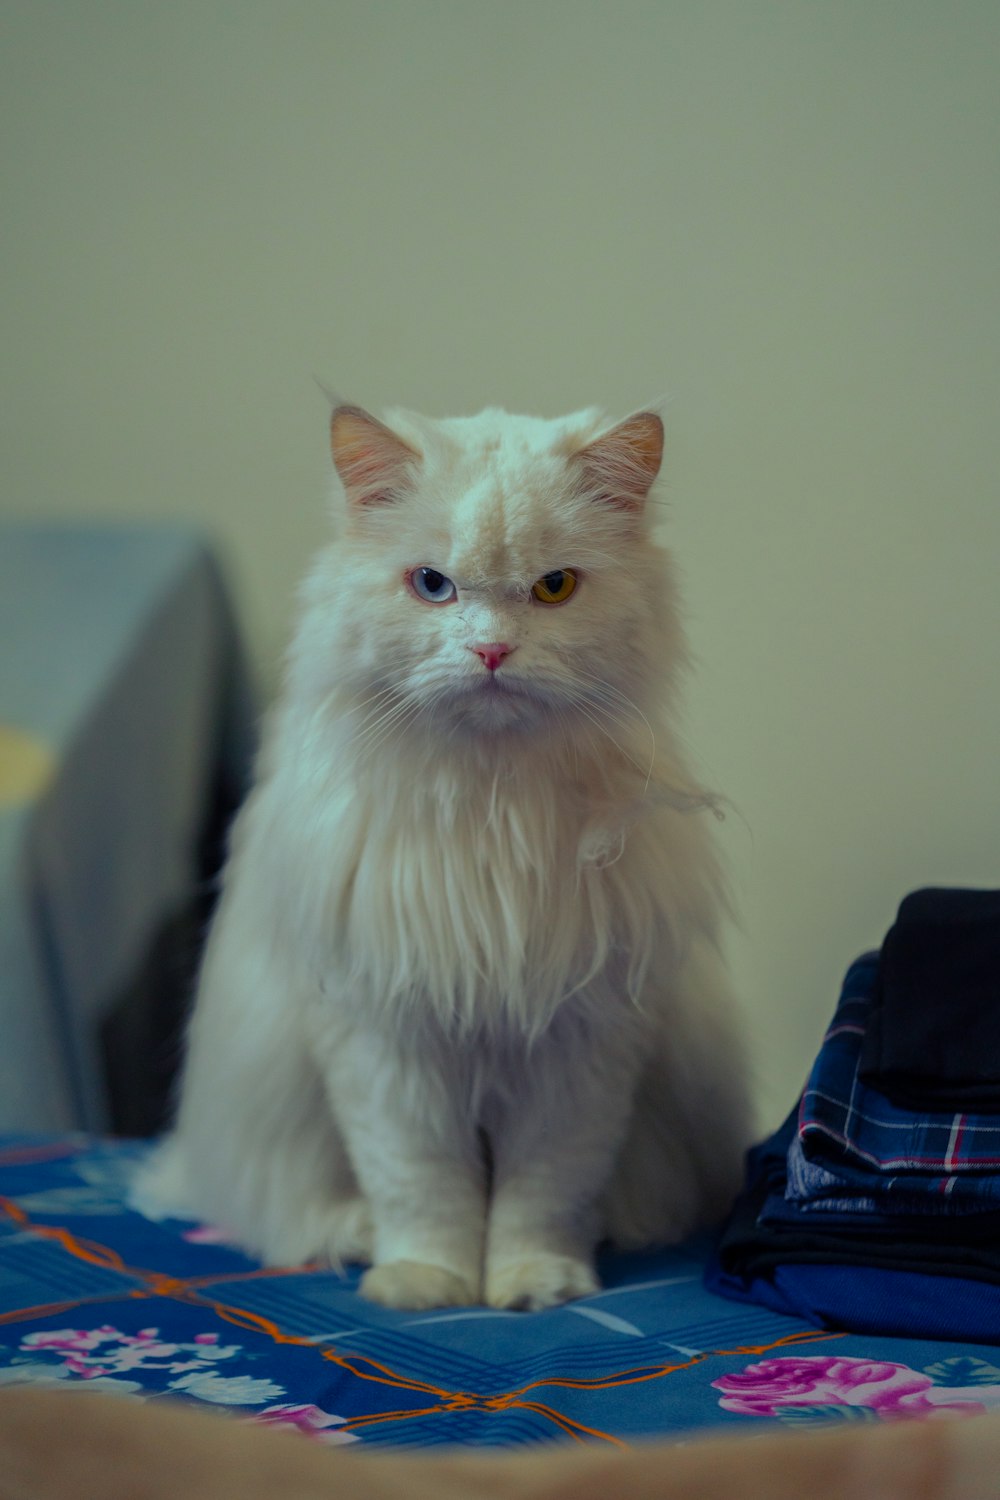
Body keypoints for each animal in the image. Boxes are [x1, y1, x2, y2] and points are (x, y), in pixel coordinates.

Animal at [138, 402, 749, 1314]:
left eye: (554, 587)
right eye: (433, 585)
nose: (491, 652)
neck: (492, 813)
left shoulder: (579, 1040)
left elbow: (544, 1191)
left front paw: (534, 1286)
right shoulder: (386, 1037)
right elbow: (422, 1185)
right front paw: (428, 1284)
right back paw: (354, 1241)